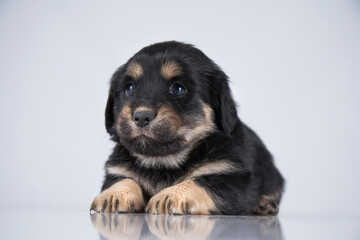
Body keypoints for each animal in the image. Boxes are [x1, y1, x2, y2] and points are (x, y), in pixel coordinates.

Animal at [90, 41, 284, 216]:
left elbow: (202, 181)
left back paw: (265, 204)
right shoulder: (116, 171)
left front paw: (171, 195)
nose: (141, 117)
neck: (162, 162)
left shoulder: (233, 176)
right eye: (129, 88)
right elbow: (124, 180)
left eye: (178, 89)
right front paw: (114, 195)